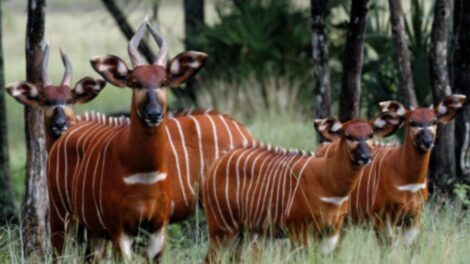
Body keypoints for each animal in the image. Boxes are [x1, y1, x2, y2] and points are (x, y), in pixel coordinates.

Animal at [48, 19, 207, 260]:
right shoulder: (120, 228)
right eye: (135, 82)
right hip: (61, 215)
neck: (144, 172)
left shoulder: (157, 227)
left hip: (93, 230)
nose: (153, 114)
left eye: (164, 81)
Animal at [200, 112, 402, 260]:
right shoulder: (299, 231)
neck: (328, 182)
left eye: (369, 135)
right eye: (348, 135)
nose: (366, 157)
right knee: (210, 258)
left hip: (239, 231)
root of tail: (215, 165)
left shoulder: (331, 231)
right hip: (221, 227)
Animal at [316, 95, 466, 245]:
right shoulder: (381, 218)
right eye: (412, 122)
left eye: (434, 121)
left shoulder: (413, 218)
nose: (427, 141)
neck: (408, 181)